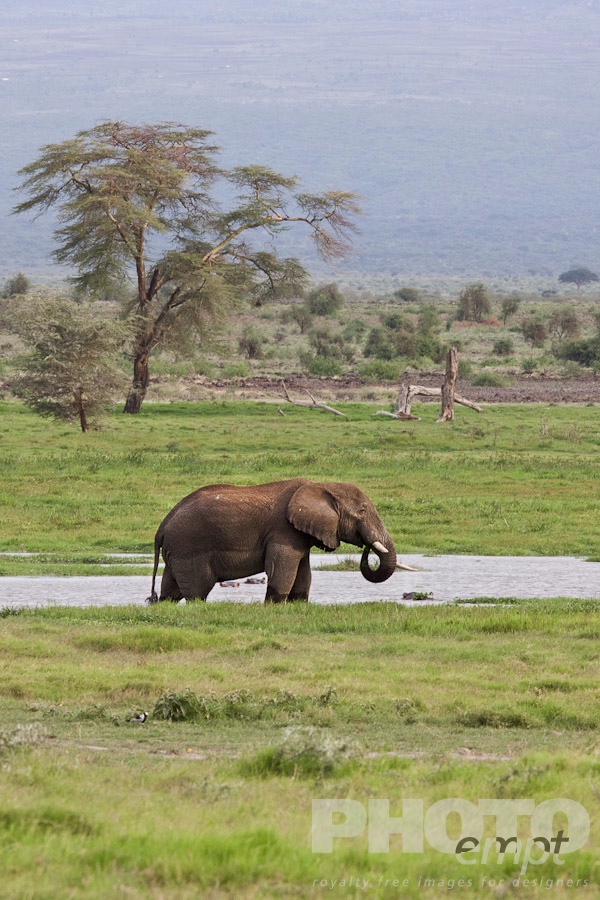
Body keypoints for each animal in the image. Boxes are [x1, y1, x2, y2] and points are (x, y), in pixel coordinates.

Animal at [147, 478, 397, 604]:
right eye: (362, 511)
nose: (367, 545)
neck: (322, 485)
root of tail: (161, 528)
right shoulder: (283, 531)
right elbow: (281, 568)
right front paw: (273, 607)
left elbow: (303, 573)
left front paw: (297, 606)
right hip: (189, 546)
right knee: (197, 592)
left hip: (178, 550)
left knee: (171, 590)